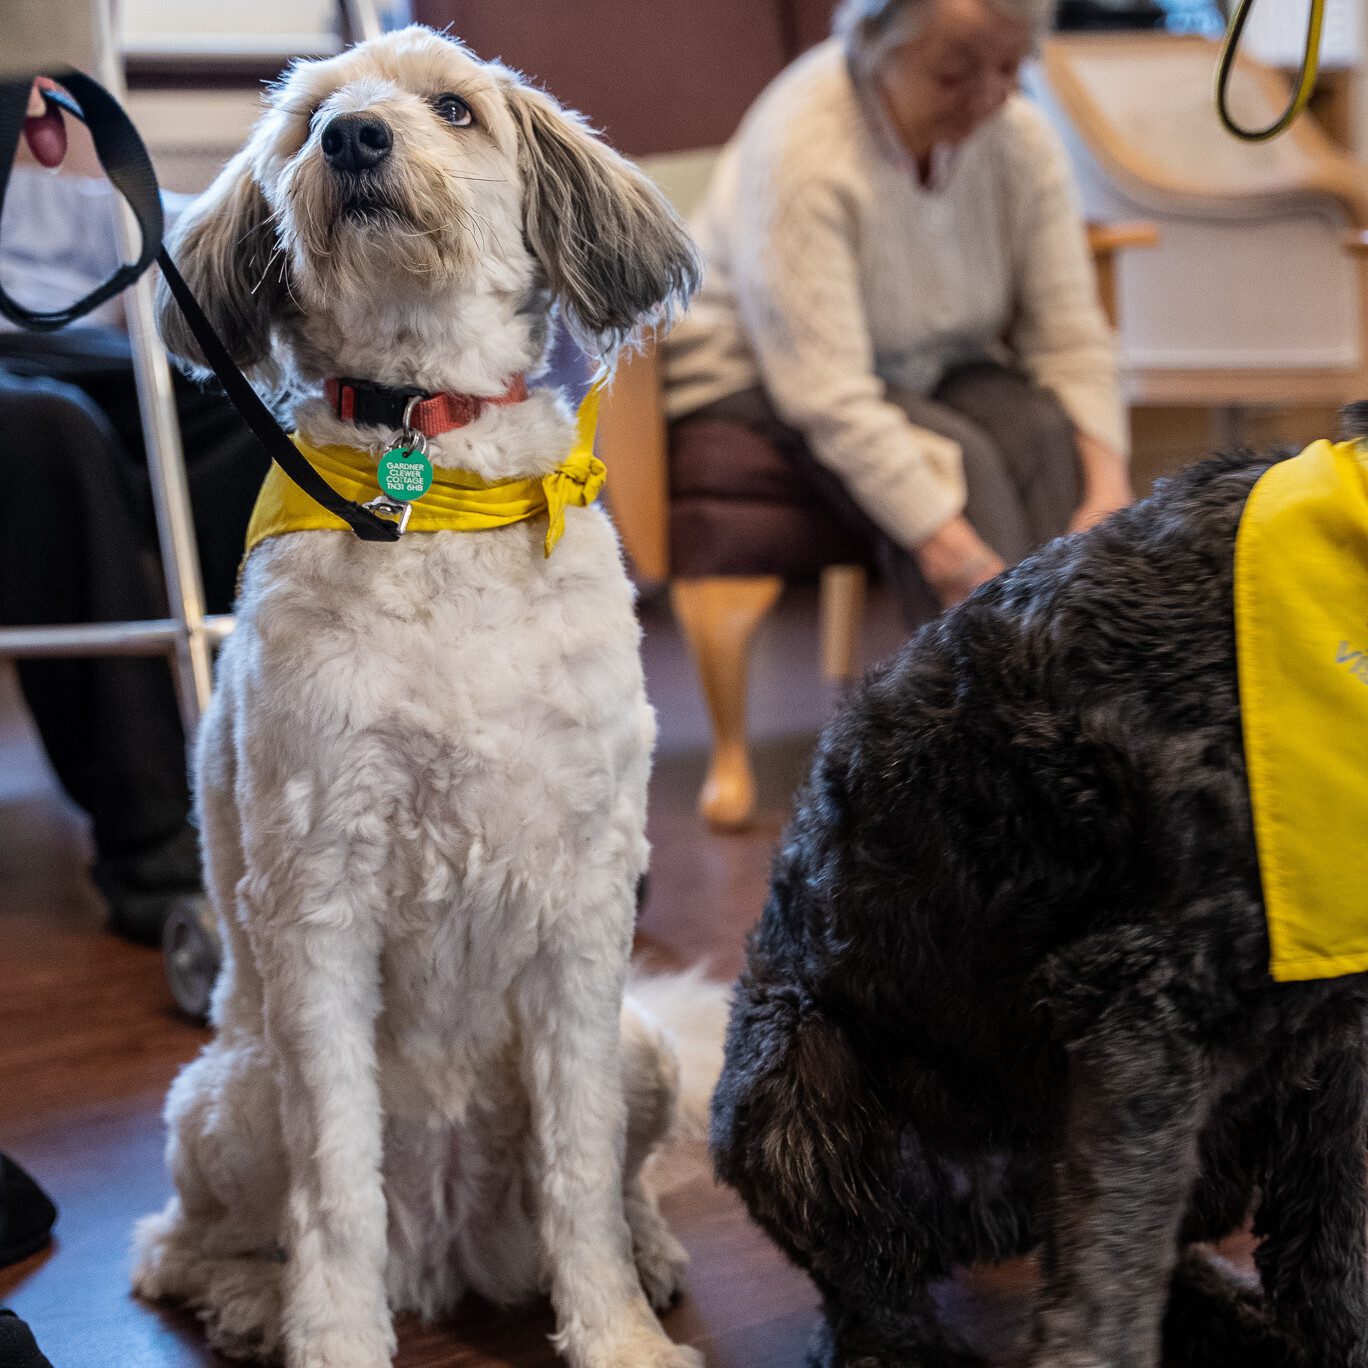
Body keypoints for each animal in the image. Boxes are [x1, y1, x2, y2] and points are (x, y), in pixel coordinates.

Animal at [129, 24, 711, 1368]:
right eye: (309, 122)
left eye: (453, 109)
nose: (354, 139)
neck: (432, 479)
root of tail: (452, 1253)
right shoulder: (316, 898)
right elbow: (335, 1191)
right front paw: (330, 1339)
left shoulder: (587, 898)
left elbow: (581, 1168)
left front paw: (615, 1331)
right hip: (231, 1099)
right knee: (173, 1243)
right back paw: (248, 1302)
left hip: (641, 1045)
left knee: (618, 1178)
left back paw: (652, 1253)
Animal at [711, 432, 1368, 1368]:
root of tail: (999, 1206)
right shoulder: (1144, 1008)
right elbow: (1108, 1295)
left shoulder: (1335, 1030)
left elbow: (1329, 1246)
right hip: (792, 1080)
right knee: (869, 1306)